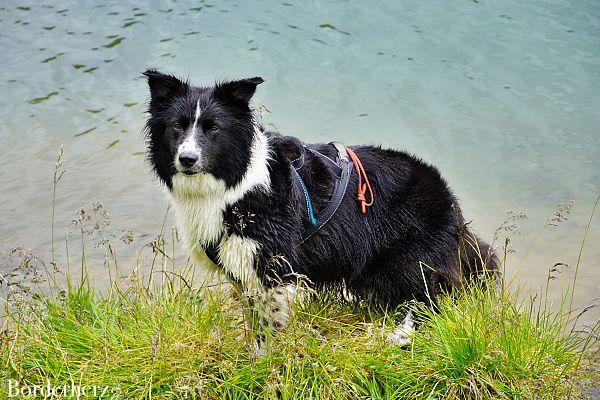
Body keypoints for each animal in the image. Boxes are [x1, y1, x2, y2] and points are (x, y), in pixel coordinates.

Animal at [142, 70, 496, 352]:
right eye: (176, 127)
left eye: (214, 128)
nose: (187, 159)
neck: (233, 184)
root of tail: (450, 198)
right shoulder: (242, 265)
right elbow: (252, 317)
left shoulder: (275, 264)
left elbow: (269, 324)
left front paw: (263, 361)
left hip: (409, 259)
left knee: (429, 297)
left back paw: (398, 336)